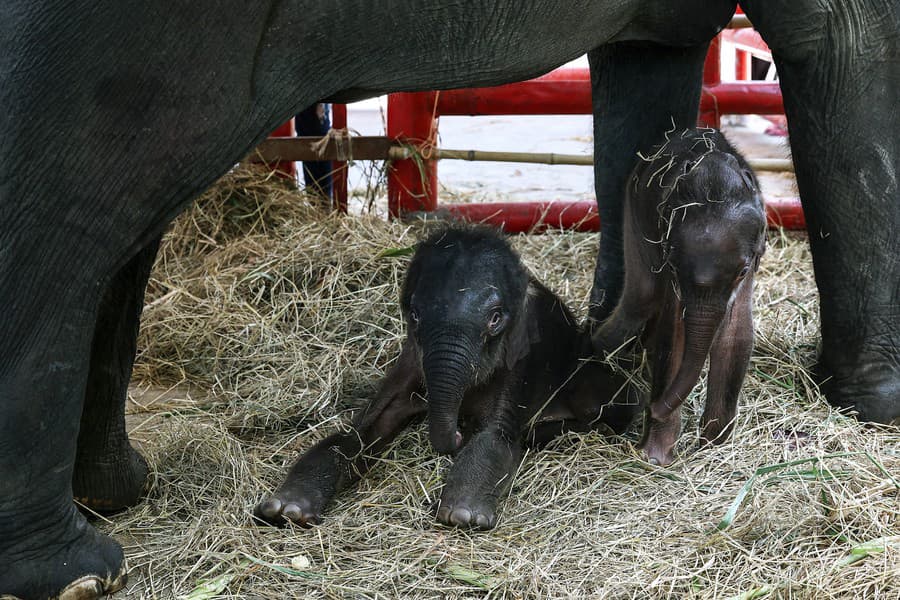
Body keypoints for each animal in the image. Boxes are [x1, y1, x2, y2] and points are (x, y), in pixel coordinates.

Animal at [255, 225, 640, 528]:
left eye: (496, 318)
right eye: (414, 314)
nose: (456, 432)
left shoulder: (521, 363)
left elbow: (496, 436)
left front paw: (463, 515)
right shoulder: (410, 362)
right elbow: (359, 432)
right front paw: (286, 510)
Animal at [592, 126, 768, 466]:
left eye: (741, 272)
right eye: (673, 266)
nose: (649, 407)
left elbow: (736, 334)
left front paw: (713, 447)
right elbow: (673, 337)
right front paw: (655, 459)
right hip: (632, 215)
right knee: (640, 297)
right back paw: (596, 349)